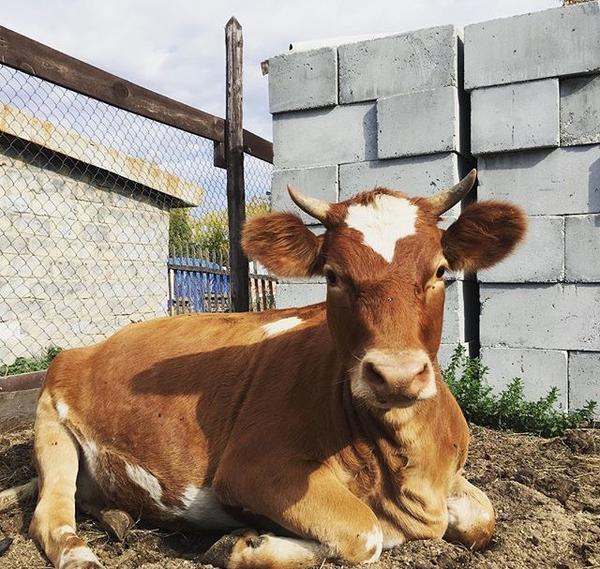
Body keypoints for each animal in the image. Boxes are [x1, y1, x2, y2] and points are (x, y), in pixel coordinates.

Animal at [0, 170, 524, 568]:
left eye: (439, 270)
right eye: (332, 276)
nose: (395, 374)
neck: (407, 466)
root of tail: (91, 346)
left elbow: (484, 517)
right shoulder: (254, 468)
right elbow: (366, 532)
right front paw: (245, 544)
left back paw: (118, 517)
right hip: (52, 422)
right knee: (51, 513)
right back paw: (80, 553)